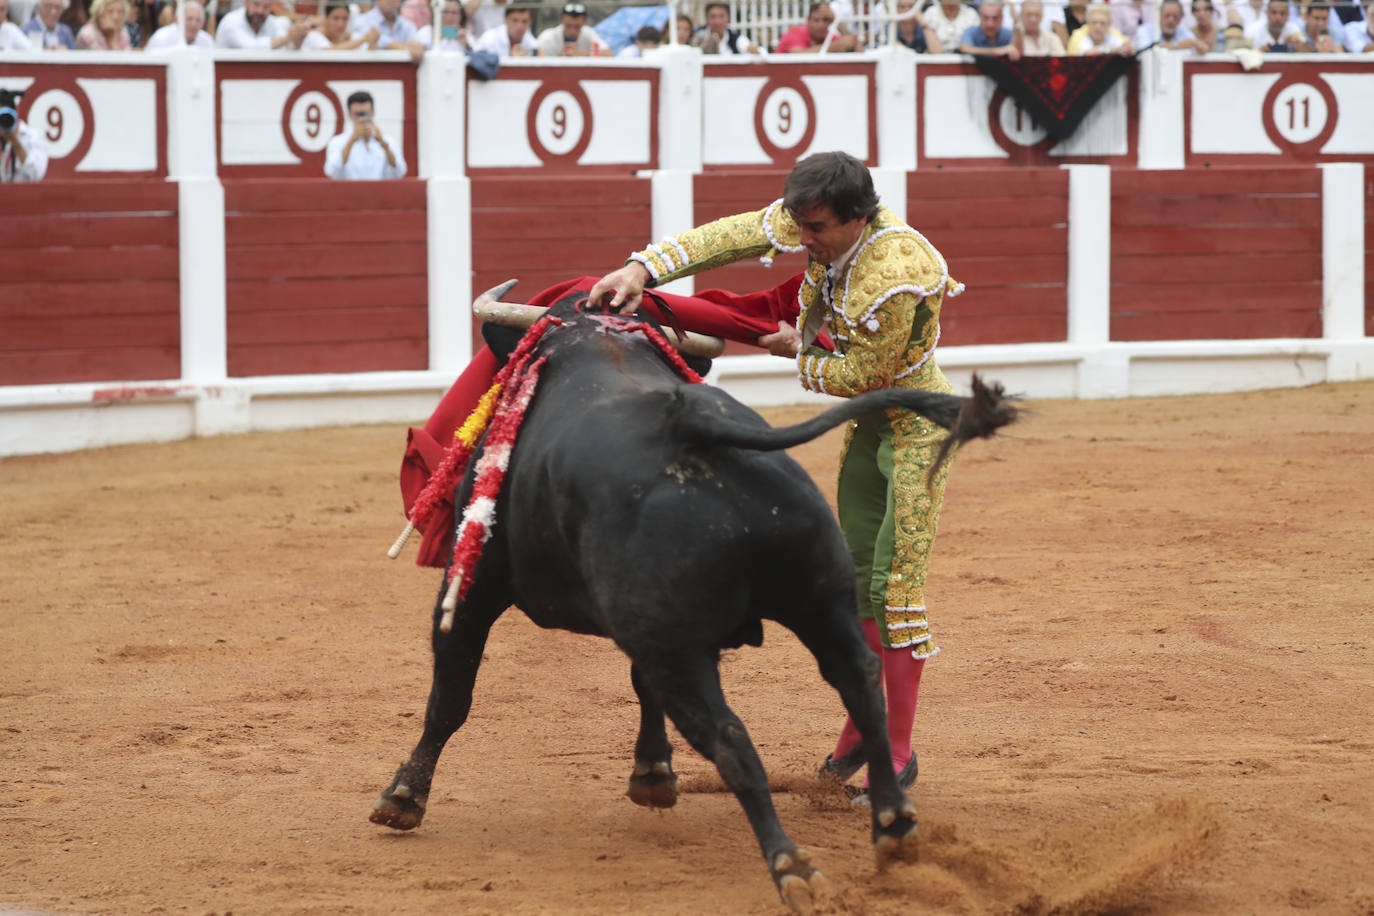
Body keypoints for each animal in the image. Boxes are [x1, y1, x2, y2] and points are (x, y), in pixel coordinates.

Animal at [370, 298, 1016, 911]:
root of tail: (697, 428)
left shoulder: (475, 584)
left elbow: (450, 696)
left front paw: (403, 797)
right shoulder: (646, 623)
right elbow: (639, 687)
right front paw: (653, 774)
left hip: (681, 648)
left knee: (731, 738)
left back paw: (792, 866)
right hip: (817, 603)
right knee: (862, 681)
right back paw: (892, 823)